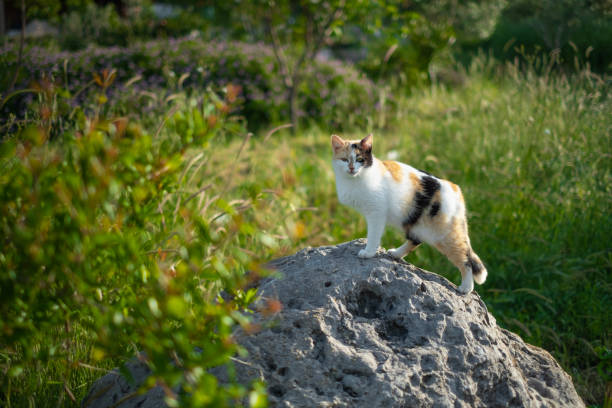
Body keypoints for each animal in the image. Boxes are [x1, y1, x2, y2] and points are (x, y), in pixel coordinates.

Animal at [332, 134, 486, 294]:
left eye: (360, 159)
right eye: (344, 159)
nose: (351, 168)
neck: (355, 179)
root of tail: (457, 190)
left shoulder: (376, 213)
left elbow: (373, 236)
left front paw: (368, 253)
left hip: (444, 235)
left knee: (465, 258)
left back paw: (466, 288)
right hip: (416, 223)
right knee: (416, 240)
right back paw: (395, 253)